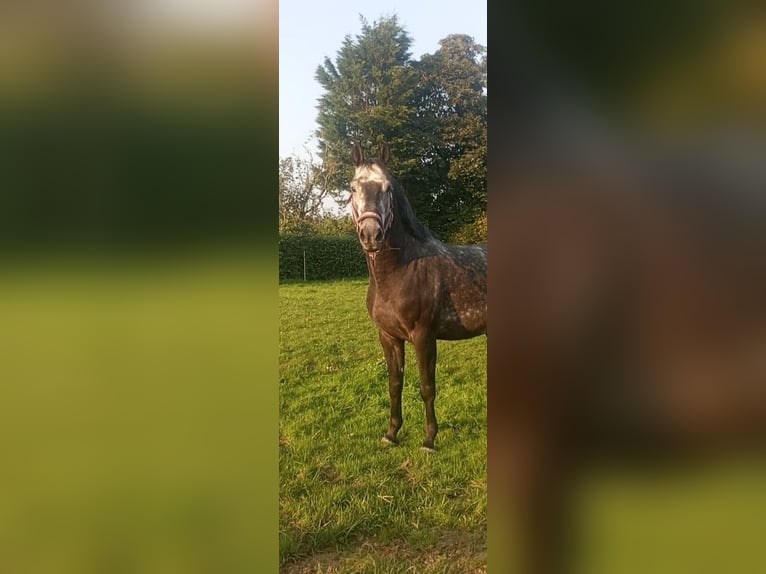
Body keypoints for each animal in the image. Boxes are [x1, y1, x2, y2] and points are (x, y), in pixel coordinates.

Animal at [348, 143, 486, 454]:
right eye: (352, 187)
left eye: (387, 188)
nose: (371, 235)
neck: (401, 271)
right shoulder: (388, 336)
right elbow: (395, 384)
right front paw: (391, 433)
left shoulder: (424, 336)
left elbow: (426, 387)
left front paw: (429, 440)